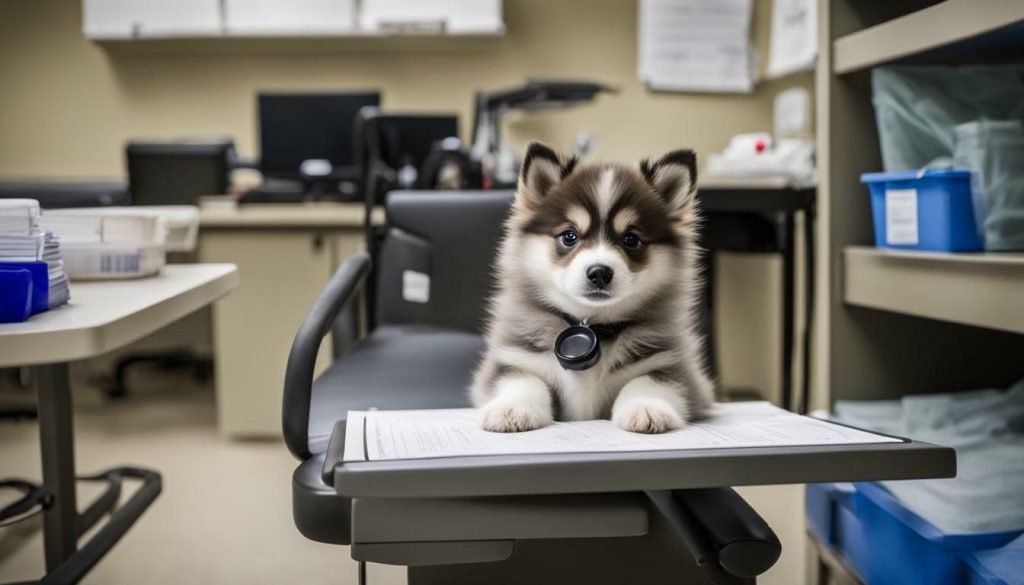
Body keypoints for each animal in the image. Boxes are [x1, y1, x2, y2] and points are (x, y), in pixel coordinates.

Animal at [468, 143, 712, 432]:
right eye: (569, 236)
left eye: (631, 239)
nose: (599, 273)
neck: (592, 325)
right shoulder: (513, 358)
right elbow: (522, 380)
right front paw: (511, 408)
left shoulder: (675, 367)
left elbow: (648, 381)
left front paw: (646, 407)